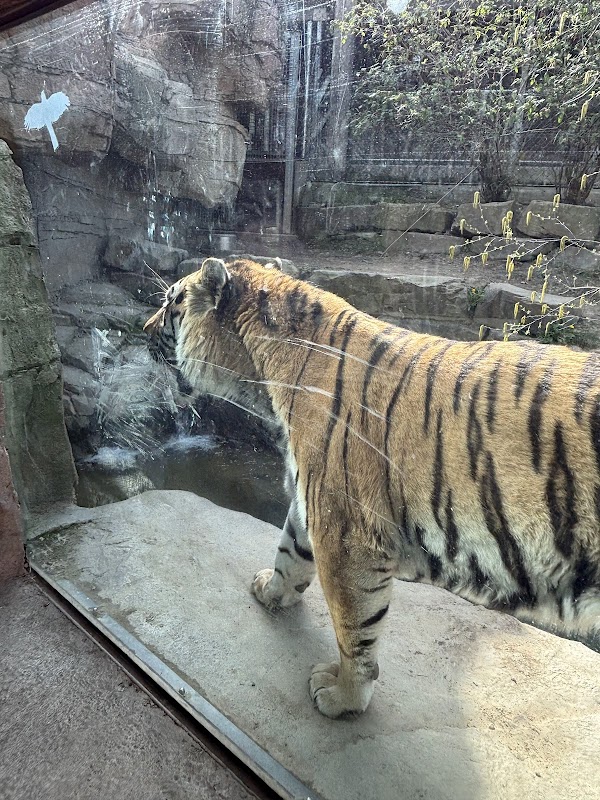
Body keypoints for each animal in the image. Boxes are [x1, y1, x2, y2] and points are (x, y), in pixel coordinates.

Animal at [144, 256, 600, 718]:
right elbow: (290, 552)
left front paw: (342, 695)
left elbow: (354, 627)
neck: (266, 373)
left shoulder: (347, 534)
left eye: (168, 303)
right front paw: (272, 591)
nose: (143, 329)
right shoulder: (313, 502)